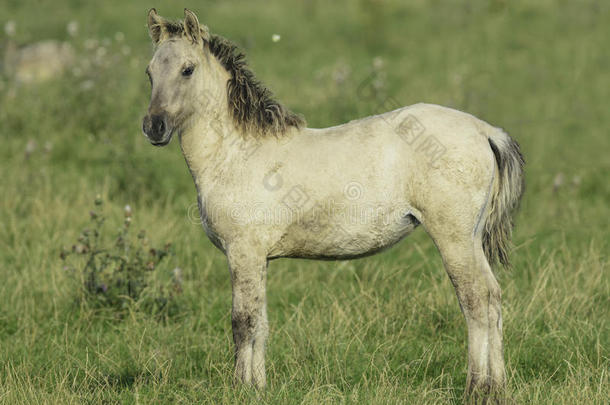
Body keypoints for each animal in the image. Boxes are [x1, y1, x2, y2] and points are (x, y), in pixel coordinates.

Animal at [142, 8, 524, 400]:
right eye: (150, 72)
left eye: (188, 69)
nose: (154, 127)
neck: (236, 152)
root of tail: (485, 131)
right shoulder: (258, 257)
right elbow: (260, 322)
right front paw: (259, 386)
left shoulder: (243, 252)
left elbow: (243, 322)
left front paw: (241, 388)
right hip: (472, 239)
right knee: (493, 299)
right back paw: (497, 387)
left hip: (455, 239)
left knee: (475, 301)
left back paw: (476, 388)